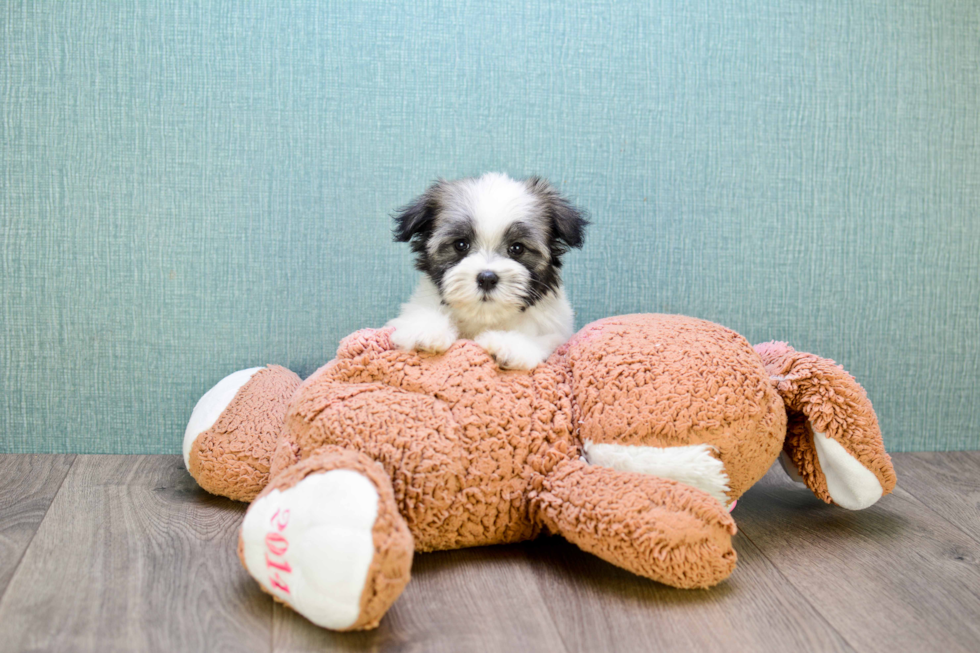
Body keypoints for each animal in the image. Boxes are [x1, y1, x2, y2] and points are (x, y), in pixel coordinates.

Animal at [390, 171, 588, 370]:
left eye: (517, 248)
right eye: (461, 244)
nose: (486, 278)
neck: (484, 317)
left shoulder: (556, 333)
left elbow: (543, 339)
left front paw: (510, 344)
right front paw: (426, 328)